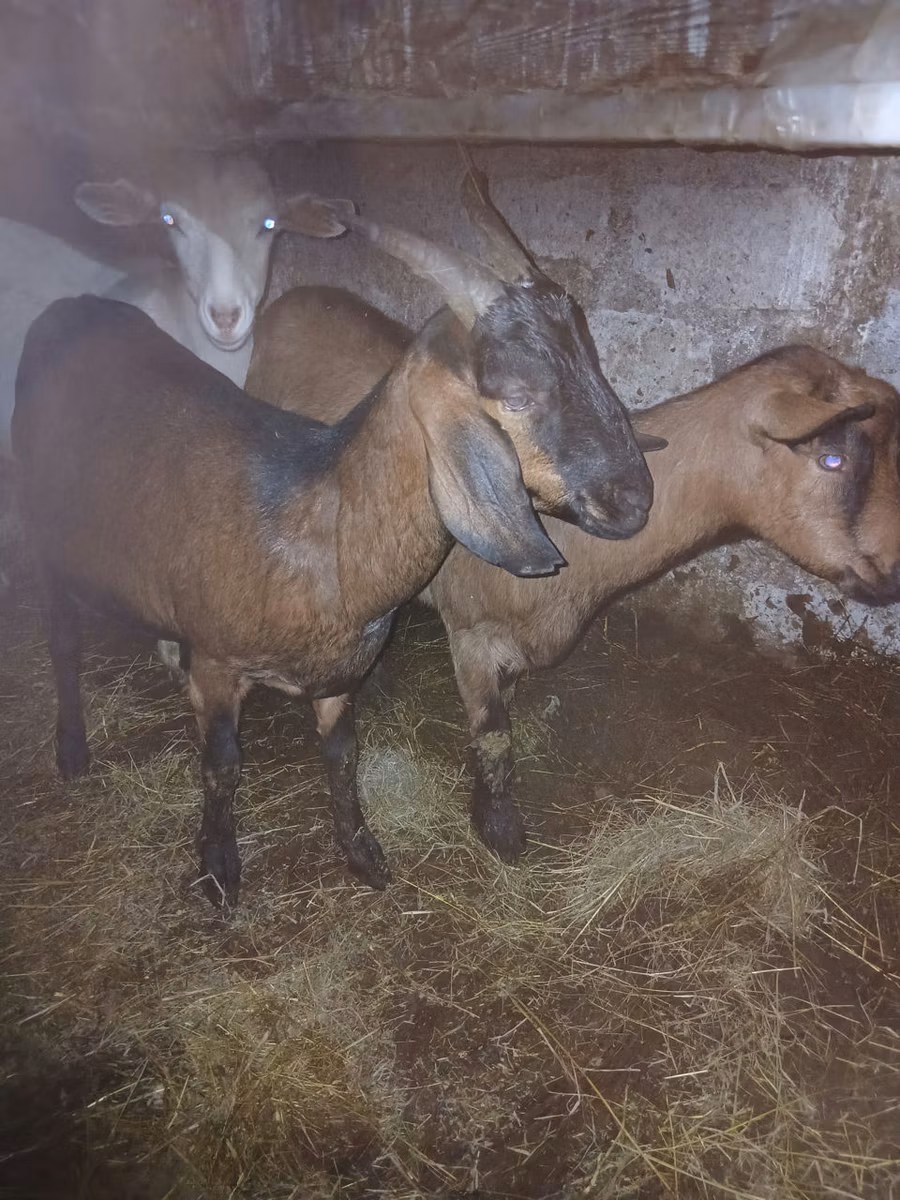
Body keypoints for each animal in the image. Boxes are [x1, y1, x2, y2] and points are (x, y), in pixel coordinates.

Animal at [13, 188, 656, 908]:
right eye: (516, 396)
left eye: (594, 362)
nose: (634, 500)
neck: (322, 534)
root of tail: (67, 310)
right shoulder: (220, 665)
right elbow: (221, 767)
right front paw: (218, 871)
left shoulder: (339, 677)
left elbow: (343, 757)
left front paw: (363, 855)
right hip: (45, 538)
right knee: (63, 643)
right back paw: (72, 751)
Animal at [239, 292, 900, 862]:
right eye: (832, 458)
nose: (890, 576)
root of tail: (294, 295)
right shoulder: (473, 634)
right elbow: (494, 736)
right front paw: (499, 830)